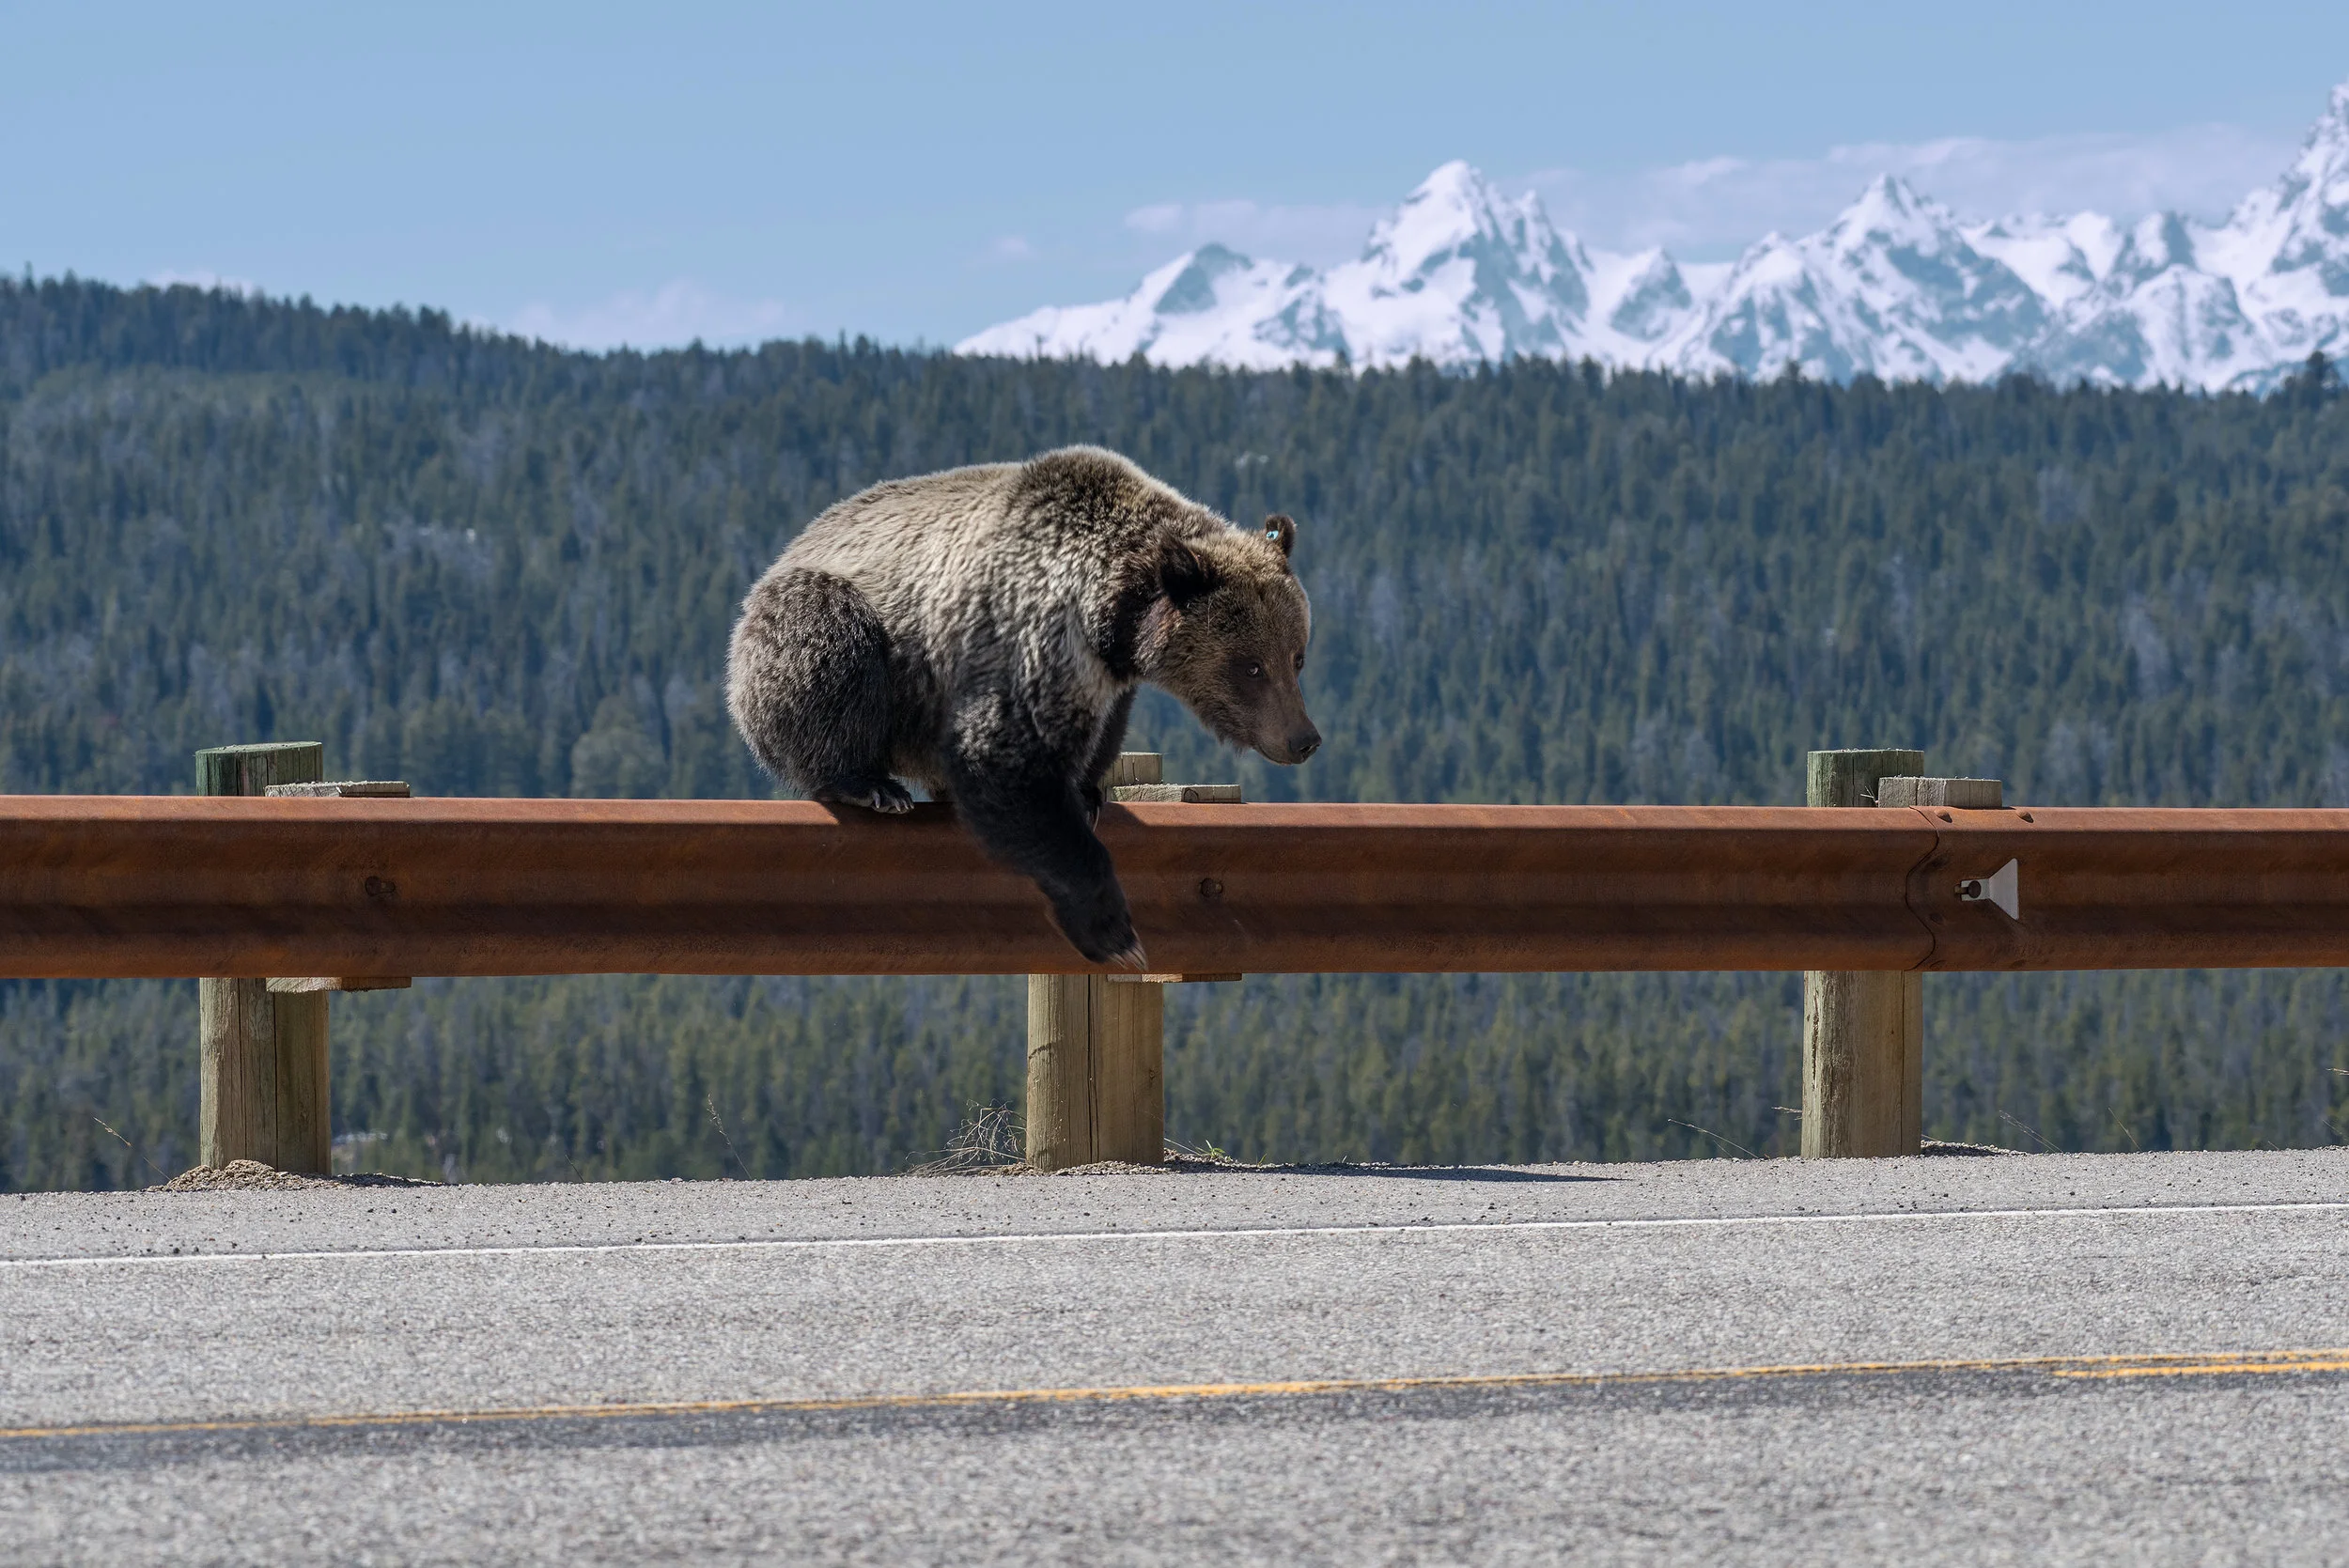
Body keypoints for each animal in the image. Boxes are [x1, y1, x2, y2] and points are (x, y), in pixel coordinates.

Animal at [727, 445, 1319, 966]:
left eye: (1297, 656)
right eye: (1251, 666)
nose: (1303, 739)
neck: (1111, 615)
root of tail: (788, 550)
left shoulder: (1104, 677)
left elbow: (1099, 735)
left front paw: (1088, 791)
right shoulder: (1025, 633)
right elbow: (1004, 761)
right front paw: (1113, 931)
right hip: (836, 637)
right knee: (828, 646)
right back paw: (869, 784)